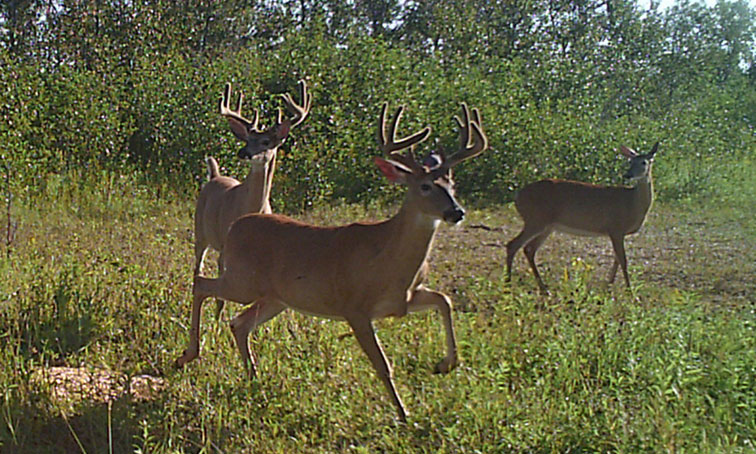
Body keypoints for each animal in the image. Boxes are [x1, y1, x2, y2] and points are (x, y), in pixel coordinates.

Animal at [198, 80, 314, 318]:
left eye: (266, 141)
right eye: (248, 139)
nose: (243, 152)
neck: (251, 206)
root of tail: (215, 175)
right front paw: (217, 318)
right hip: (201, 233)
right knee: (199, 265)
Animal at [504, 141, 660, 294]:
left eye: (644, 162)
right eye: (630, 161)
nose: (628, 174)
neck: (632, 204)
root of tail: (517, 196)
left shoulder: (618, 233)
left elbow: (617, 259)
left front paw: (608, 286)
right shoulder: (615, 229)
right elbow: (623, 260)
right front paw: (630, 292)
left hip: (547, 226)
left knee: (529, 249)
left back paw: (543, 289)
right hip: (535, 220)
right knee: (513, 244)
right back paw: (508, 284)